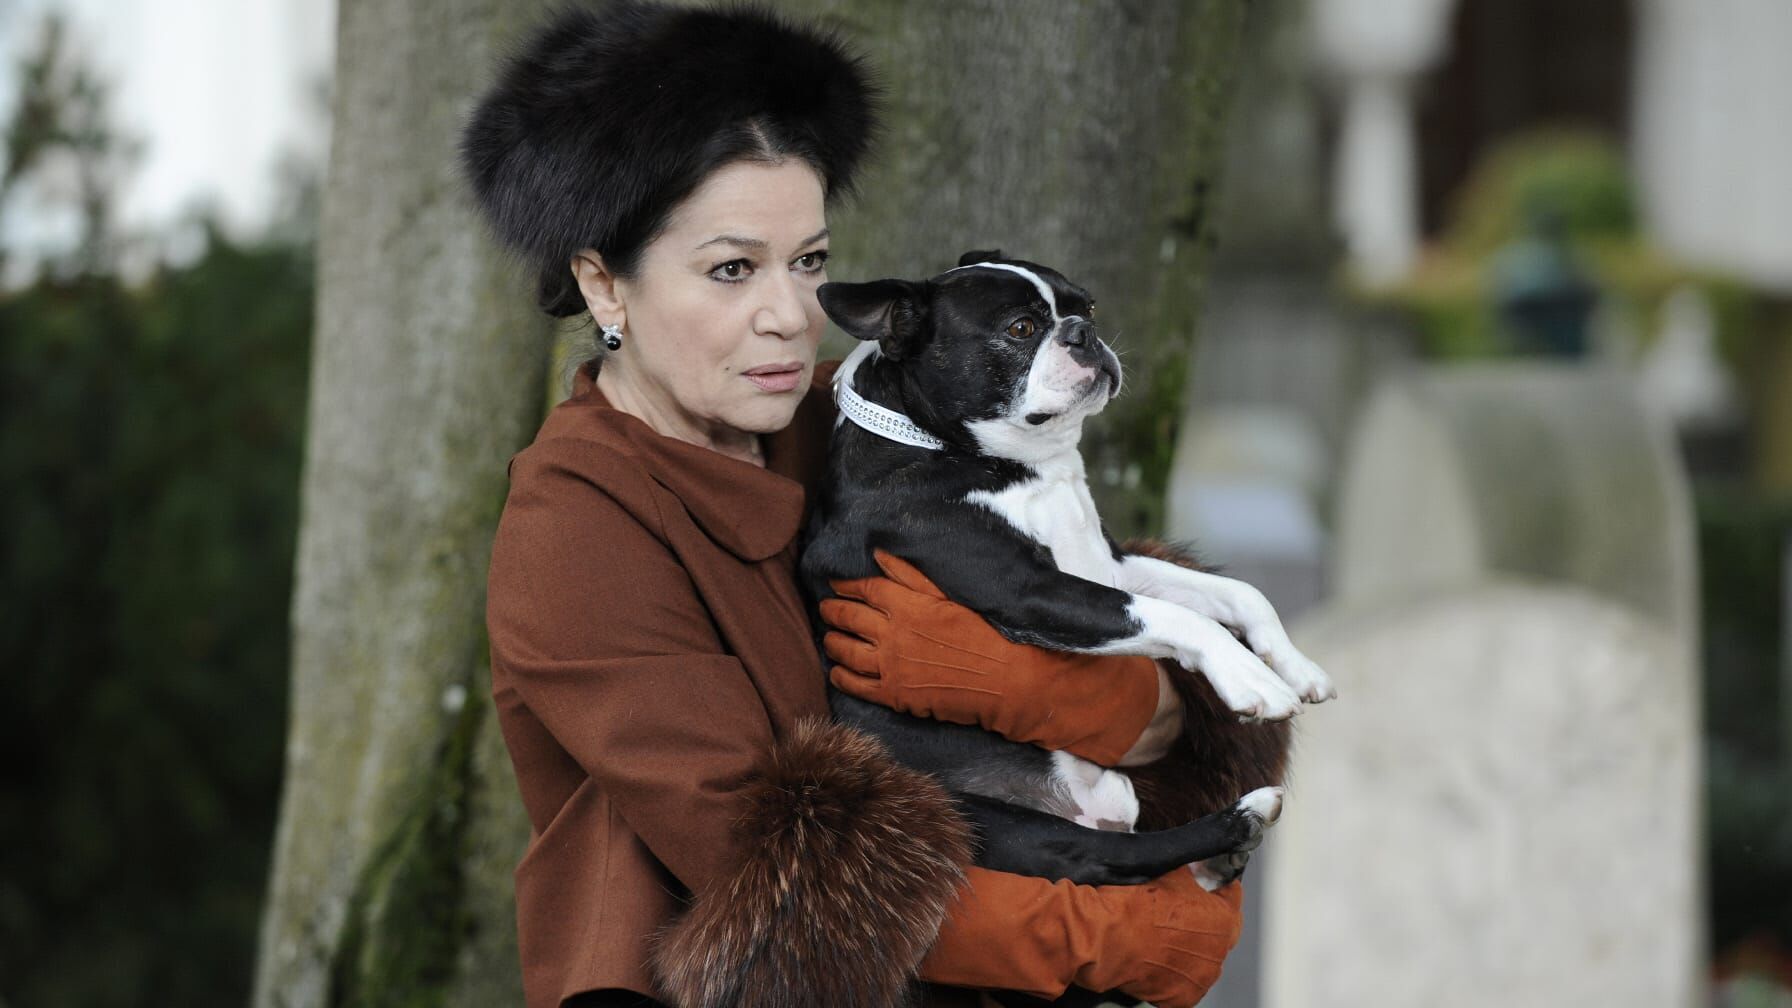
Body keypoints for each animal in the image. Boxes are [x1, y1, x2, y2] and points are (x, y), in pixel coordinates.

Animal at [799, 251, 1335, 897]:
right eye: (1021, 329)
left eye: (1089, 307)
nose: (1083, 333)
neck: (1016, 463)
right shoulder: (1031, 593)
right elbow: (1182, 618)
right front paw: (1252, 680)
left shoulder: (1111, 566)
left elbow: (1240, 594)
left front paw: (1297, 667)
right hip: (978, 819)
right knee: (1110, 857)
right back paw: (1239, 822)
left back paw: (1220, 860)